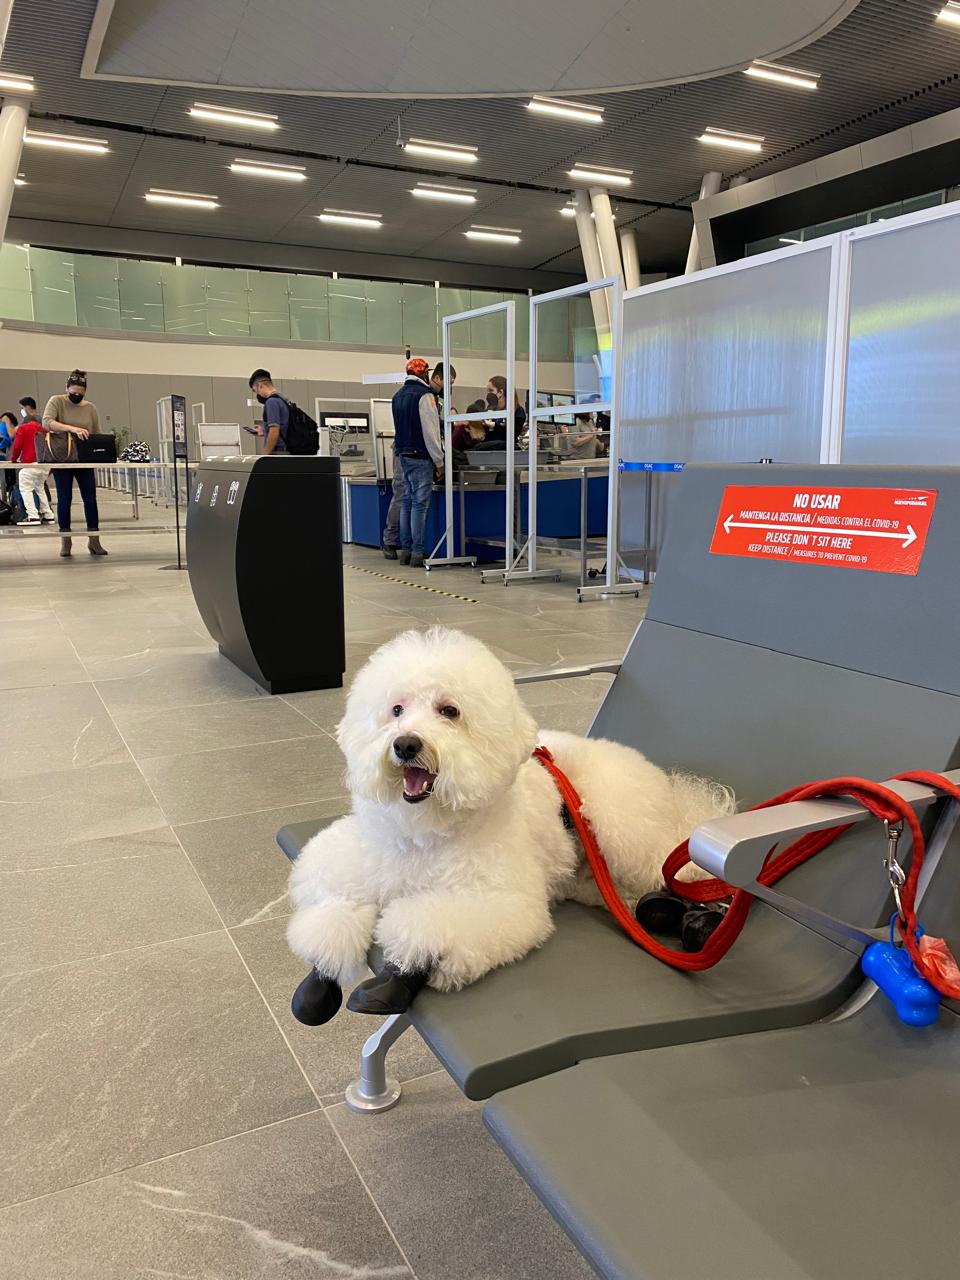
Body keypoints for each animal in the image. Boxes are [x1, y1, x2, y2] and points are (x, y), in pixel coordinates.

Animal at [289, 624, 732, 1013]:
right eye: (396, 710)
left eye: (449, 711)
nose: (405, 744)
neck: (427, 830)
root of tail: (675, 796)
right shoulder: (356, 856)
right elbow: (333, 895)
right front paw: (326, 952)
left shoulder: (498, 903)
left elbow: (423, 930)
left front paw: (396, 970)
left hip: (619, 825)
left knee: (671, 873)